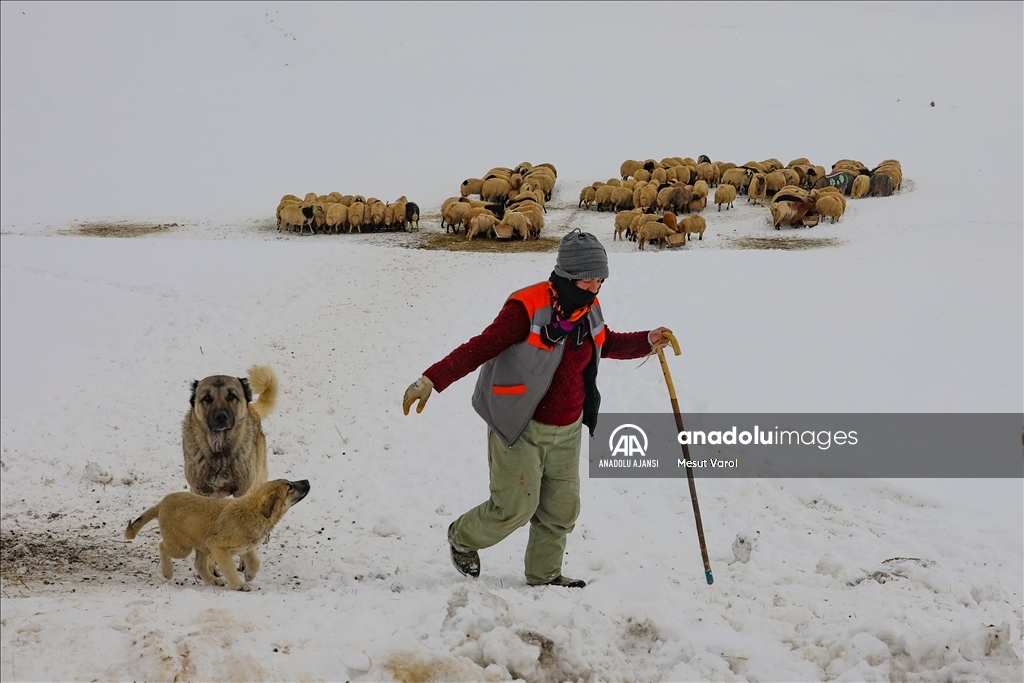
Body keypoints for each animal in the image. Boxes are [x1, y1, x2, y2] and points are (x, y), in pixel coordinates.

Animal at [125, 475, 307, 593]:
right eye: (290, 487)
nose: (307, 481)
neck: (253, 512)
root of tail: (162, 503)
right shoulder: (218, 546)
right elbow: (229, 567)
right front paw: (238, 584)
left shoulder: (245, 547)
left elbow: (255, 562)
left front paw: (249, 575)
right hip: (182, 547)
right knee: (163, 547)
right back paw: (167, 571)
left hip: (201, 544)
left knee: (199, 564)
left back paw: (212, 580)